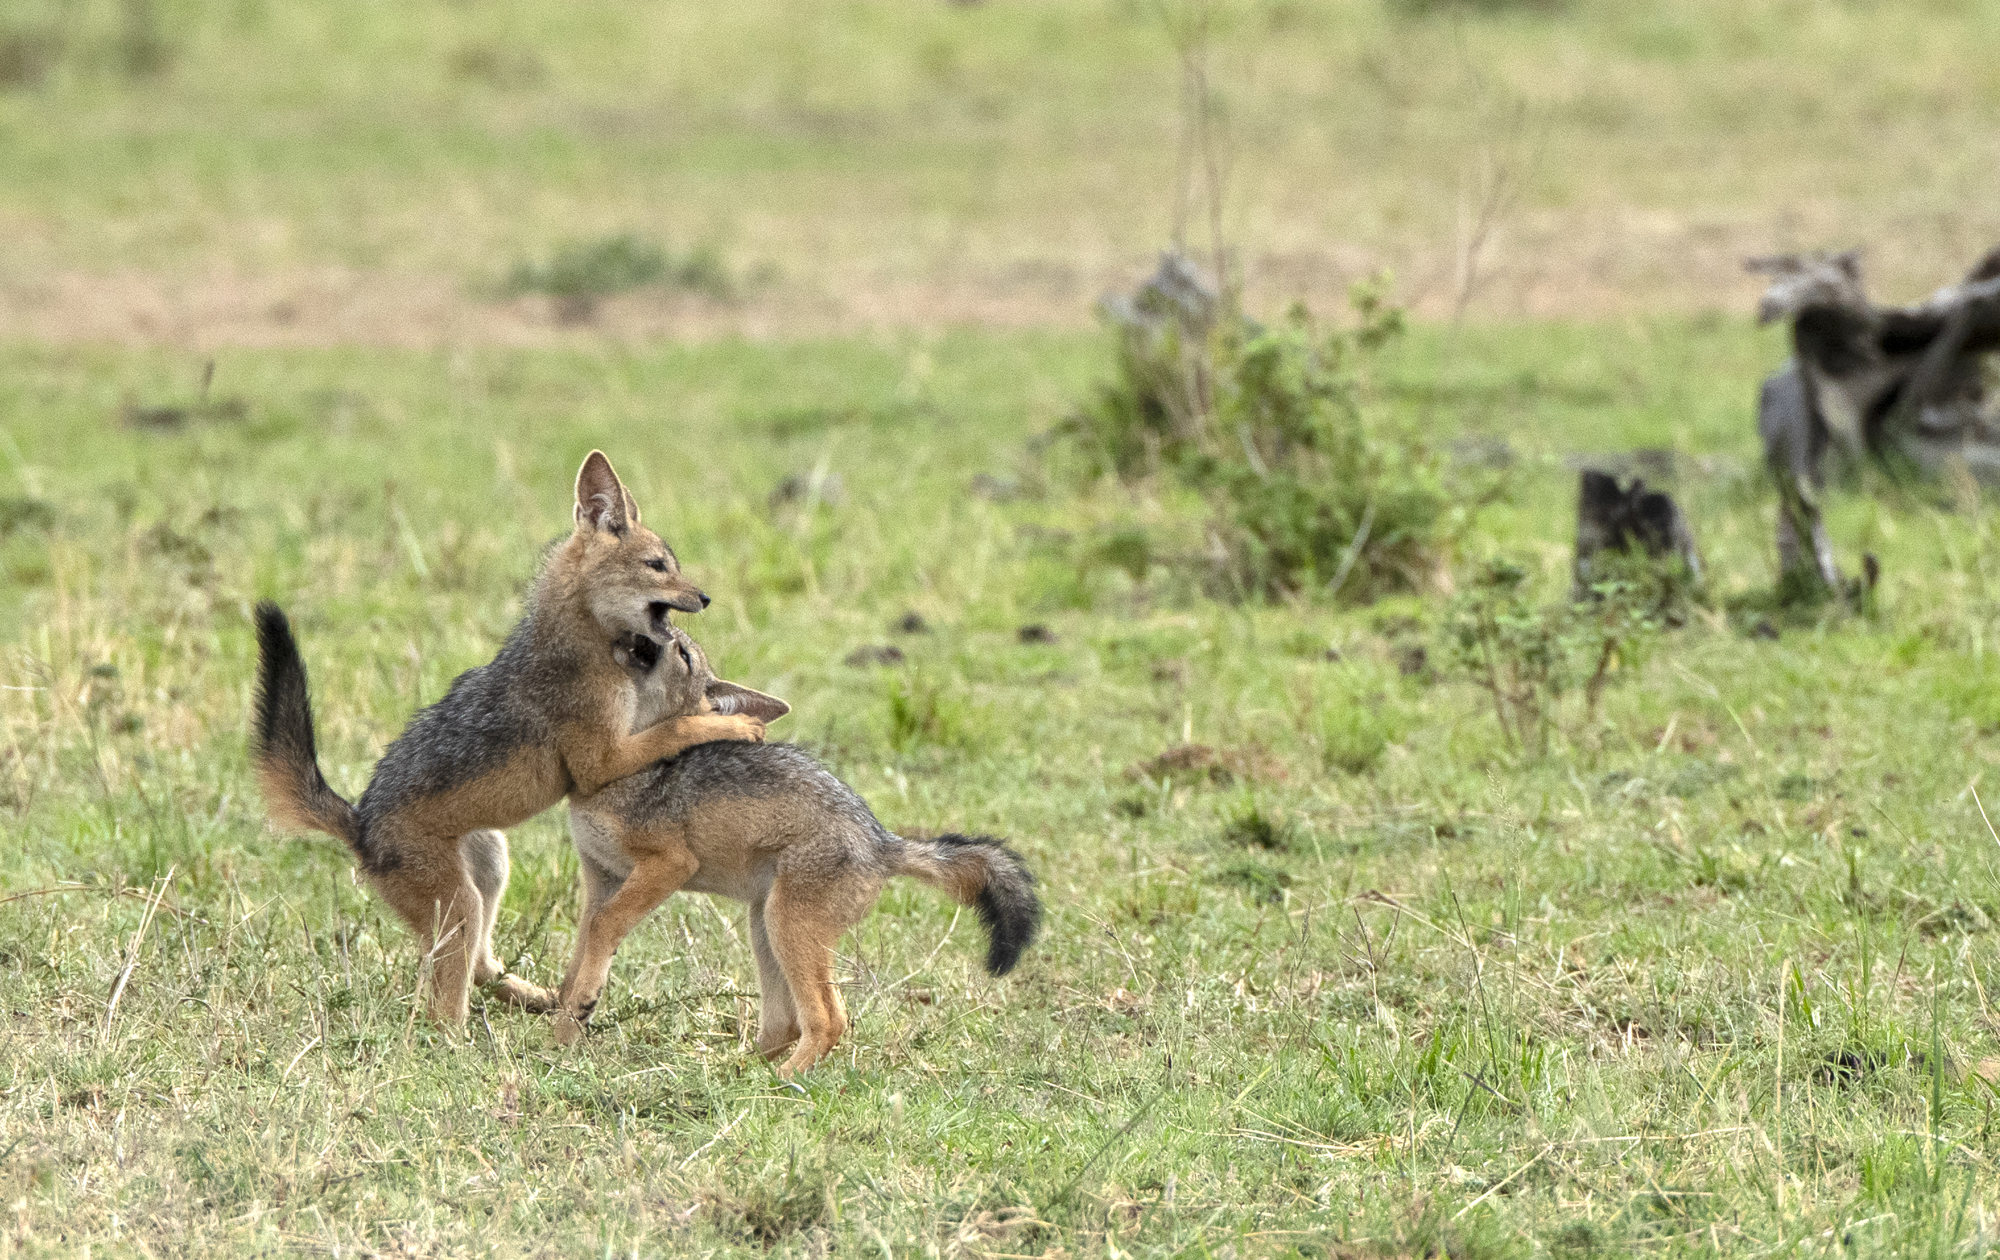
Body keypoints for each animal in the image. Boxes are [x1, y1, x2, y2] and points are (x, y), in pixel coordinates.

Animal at [251, 451, 767, 1024]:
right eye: (659, 566)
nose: (705, 597)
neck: (586, 645)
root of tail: (359, 823)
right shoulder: (598, 763)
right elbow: (677, 726)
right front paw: (735, 723)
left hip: (491, 869)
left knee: (481, 966)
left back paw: (541, 998)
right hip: (462, 908)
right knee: (445, 1009)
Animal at [559, 625, 1041, 1076]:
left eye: (683, 653)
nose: (648, 628)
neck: (625, 771)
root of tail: (883, 841)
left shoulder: (669, 865)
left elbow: (603, 927)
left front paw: (579, 1013)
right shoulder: (602, 878)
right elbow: (579, 954)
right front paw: (561, 1034)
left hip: (785, 926)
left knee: (830, 1020)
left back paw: (780, 1080)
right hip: (764, 925)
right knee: (786, 1026)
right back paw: (739, 1076)